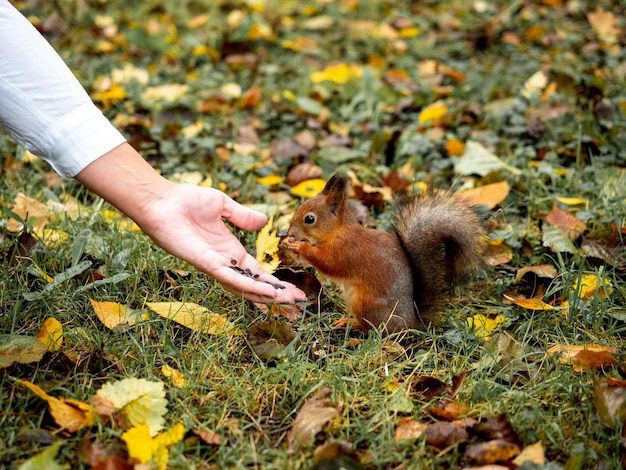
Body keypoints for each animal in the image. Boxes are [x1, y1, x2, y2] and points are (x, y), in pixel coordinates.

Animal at [280, 173, 486, 334]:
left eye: (310, 219)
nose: (290, 233)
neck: (337, 230)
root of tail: (411, 323)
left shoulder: (346, 249)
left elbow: (328, 264)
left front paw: (300, 247)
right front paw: (287, 244)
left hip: (366, 304)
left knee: (374, 329)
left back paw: (353, 324)